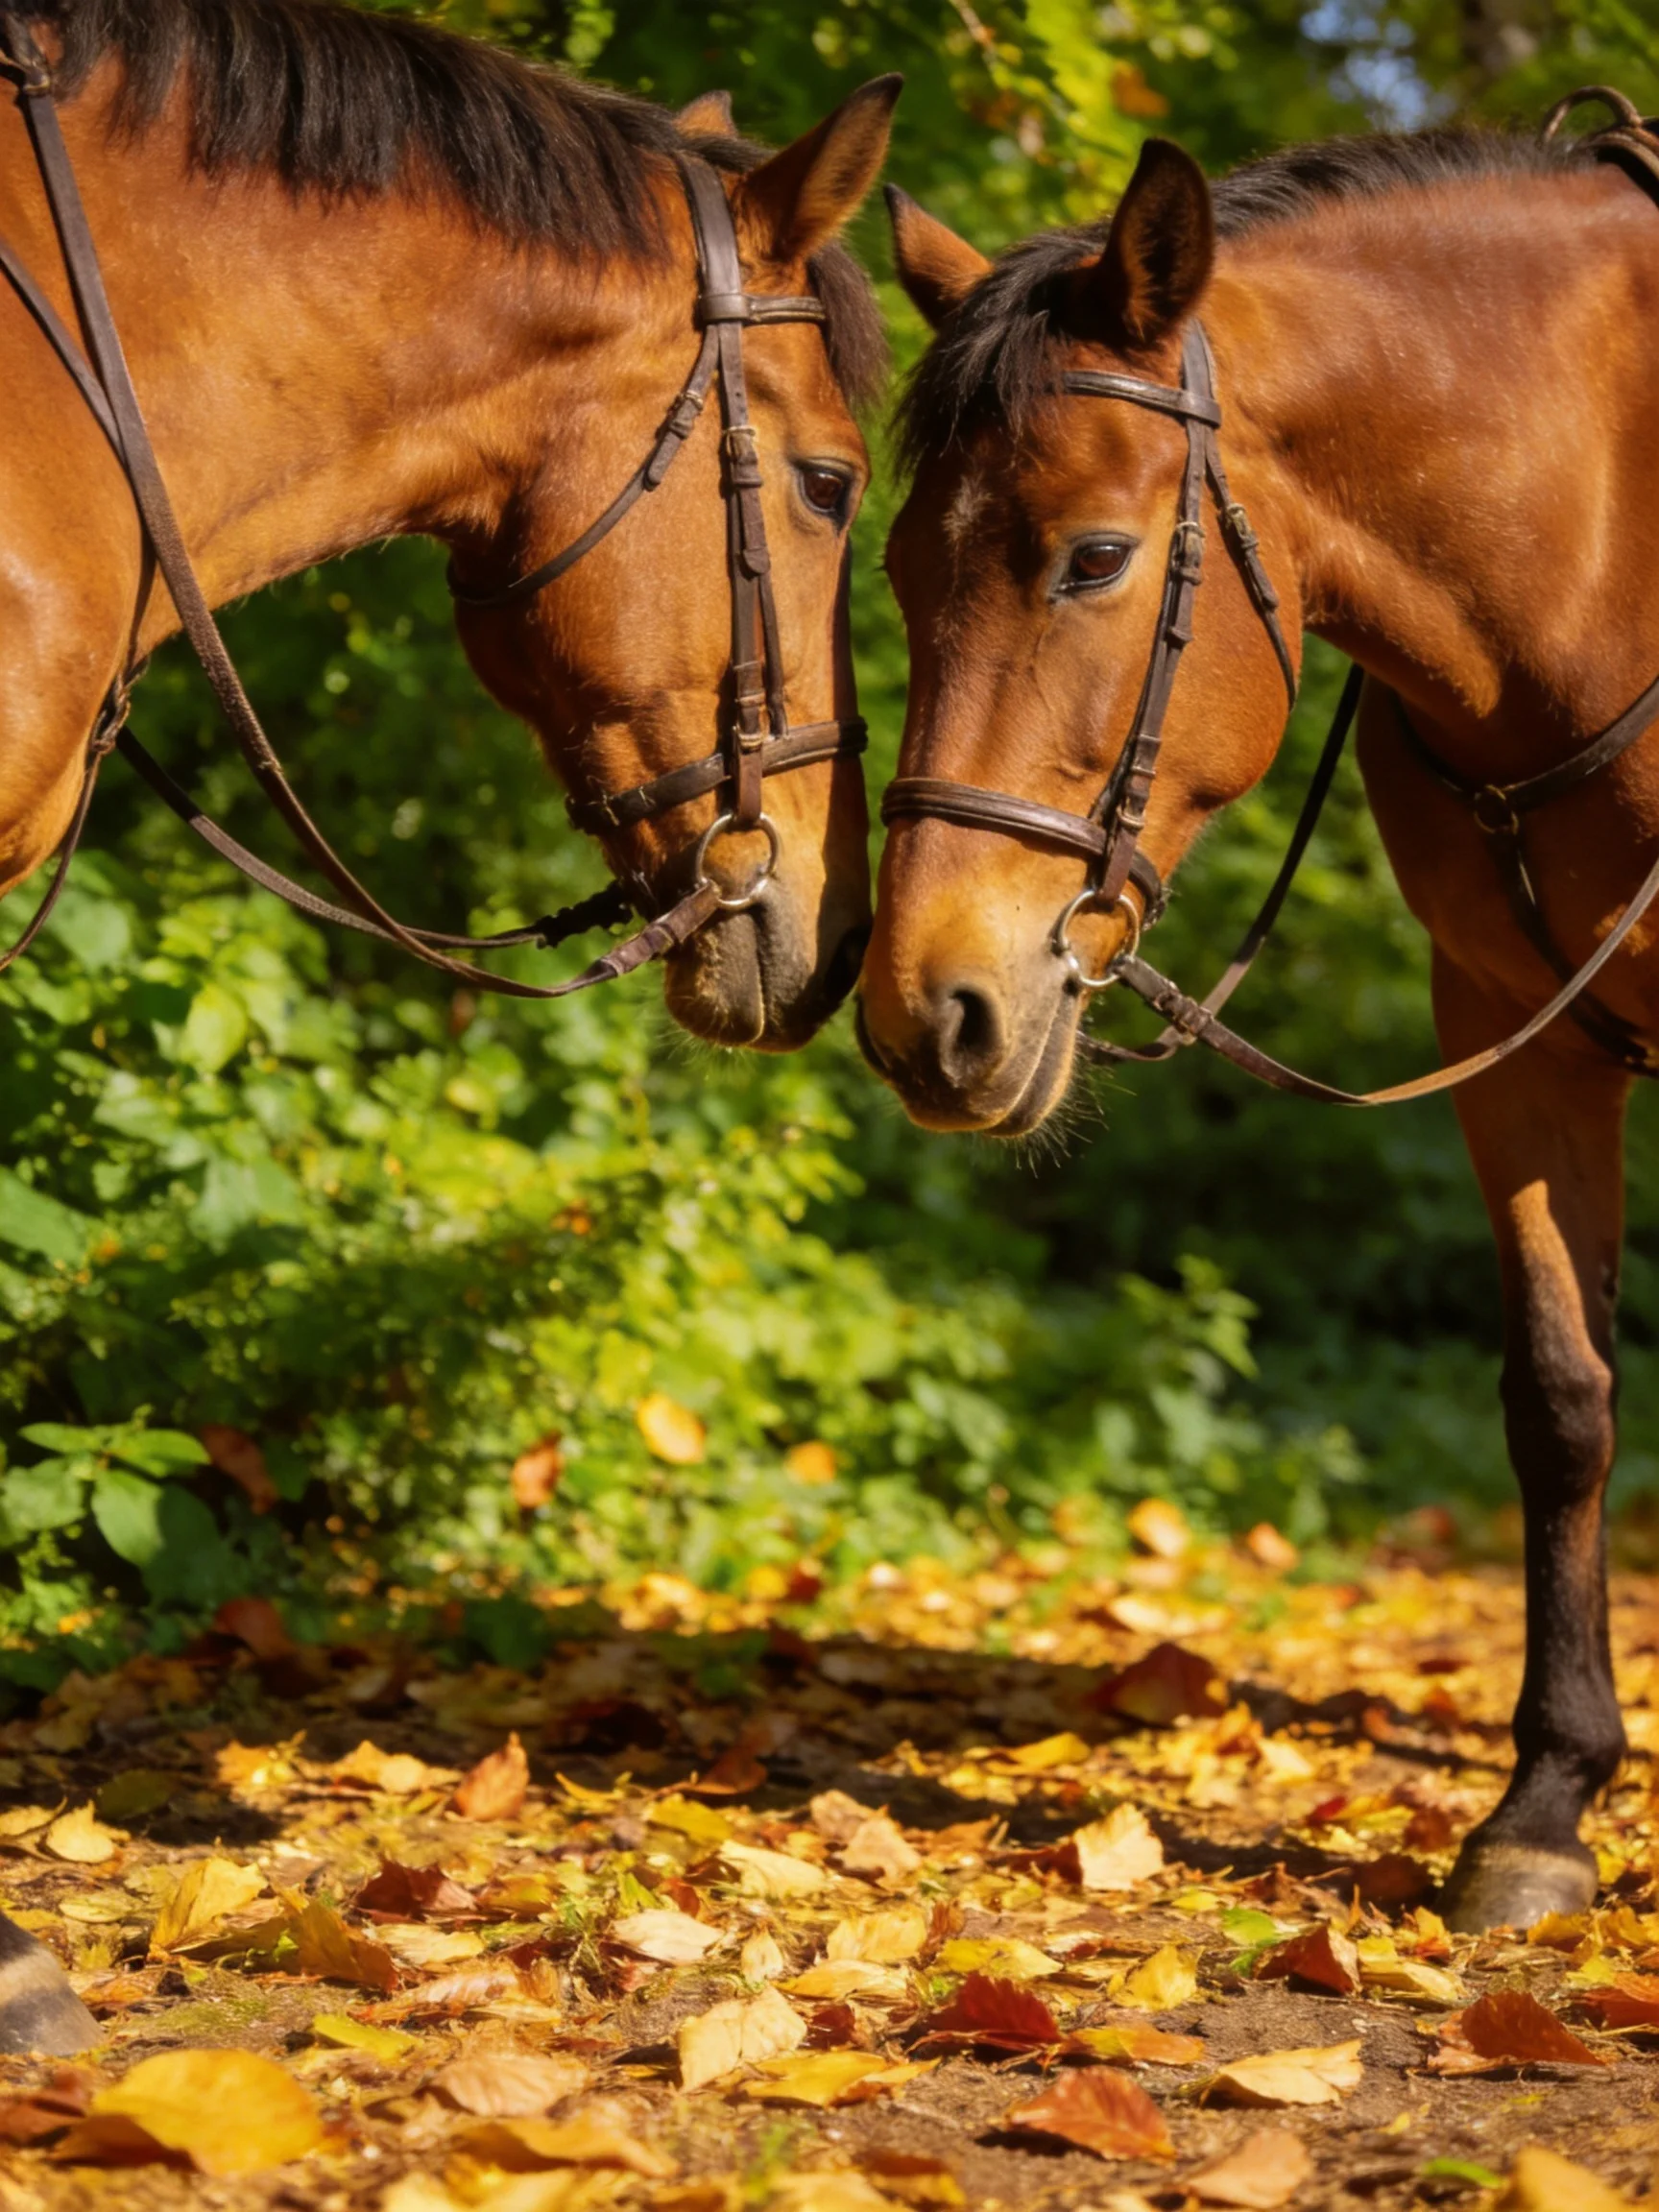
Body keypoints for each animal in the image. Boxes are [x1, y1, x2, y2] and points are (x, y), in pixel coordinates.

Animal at [860, 116, 1659, 1932]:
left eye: (1092, 556)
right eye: (900, 569)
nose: (927, 1010)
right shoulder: (1515, 1031)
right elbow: (1561, 1398)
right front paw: (1543, 1803)